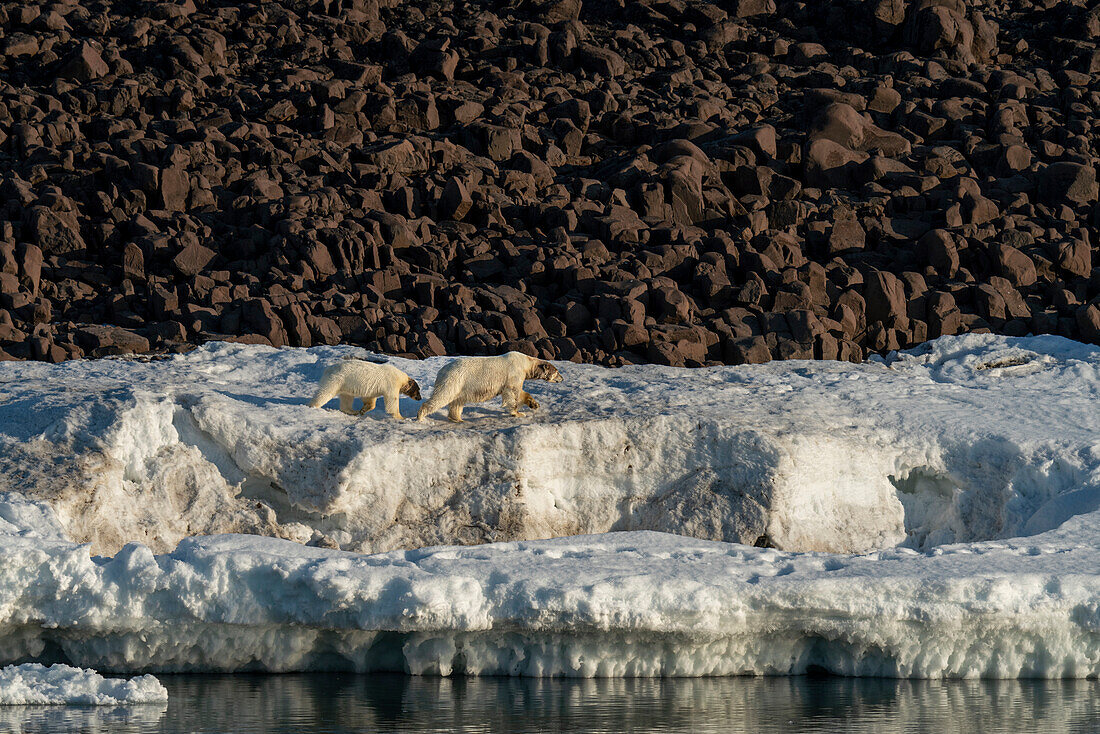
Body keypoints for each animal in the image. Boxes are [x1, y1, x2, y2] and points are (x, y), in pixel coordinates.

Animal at [415, 352, 563, 422]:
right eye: (557, 371)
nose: (562, 378)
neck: (526, 363)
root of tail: (441, 371)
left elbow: (520, 392)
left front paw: (534, 404)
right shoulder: (514, 372)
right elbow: (512, 392)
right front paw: (518, 413)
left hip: (461, 385)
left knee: (457, 402)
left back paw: (458, 419)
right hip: (454, 380)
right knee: (443, 396)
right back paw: (421, 416)